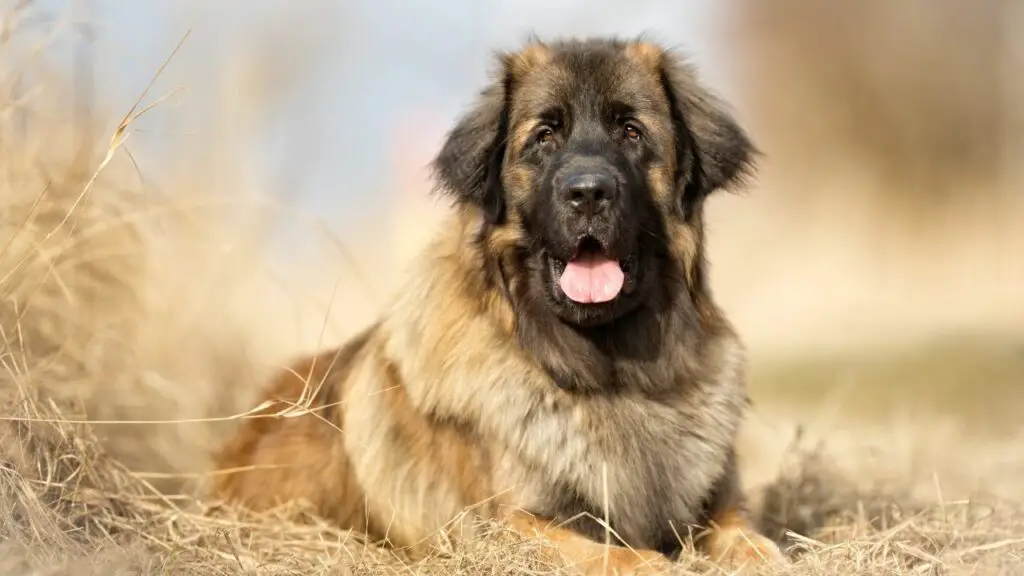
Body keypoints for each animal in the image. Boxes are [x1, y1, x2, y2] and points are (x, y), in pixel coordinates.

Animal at [211, 36, 786, 573]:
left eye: (631, 132)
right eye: (545, 136)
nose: (588, 193)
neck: (609, 372)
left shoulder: (717, 502)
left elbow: (748, 537)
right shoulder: (504, 523)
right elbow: (603, 553)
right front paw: (650, 562)